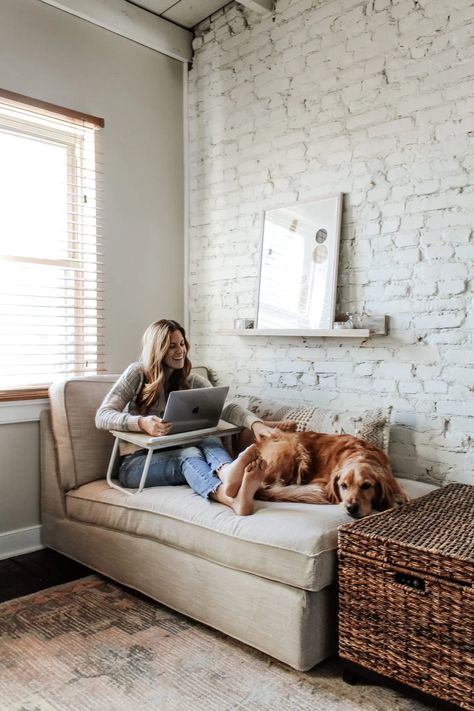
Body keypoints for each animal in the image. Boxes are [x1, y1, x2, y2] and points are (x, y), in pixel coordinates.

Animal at [254, 428, 410, 516]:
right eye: (343, 486)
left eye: (366, 486)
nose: (351, 508)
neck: (360, 454)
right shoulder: (321, 482)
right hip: (288, 450)